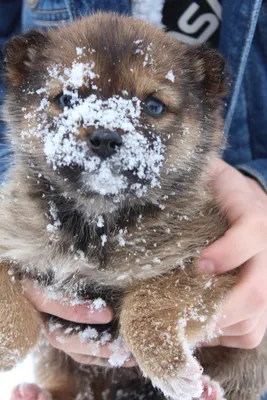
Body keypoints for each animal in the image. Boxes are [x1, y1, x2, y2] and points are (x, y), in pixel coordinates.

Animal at [0, 12, 267, 400]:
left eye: (154, 106)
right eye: (66, 98)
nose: (105, 137)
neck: (95, 222)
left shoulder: (205, 263)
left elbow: (147, 305)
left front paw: (173, 369)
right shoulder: (12, 240)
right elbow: (10, 307)